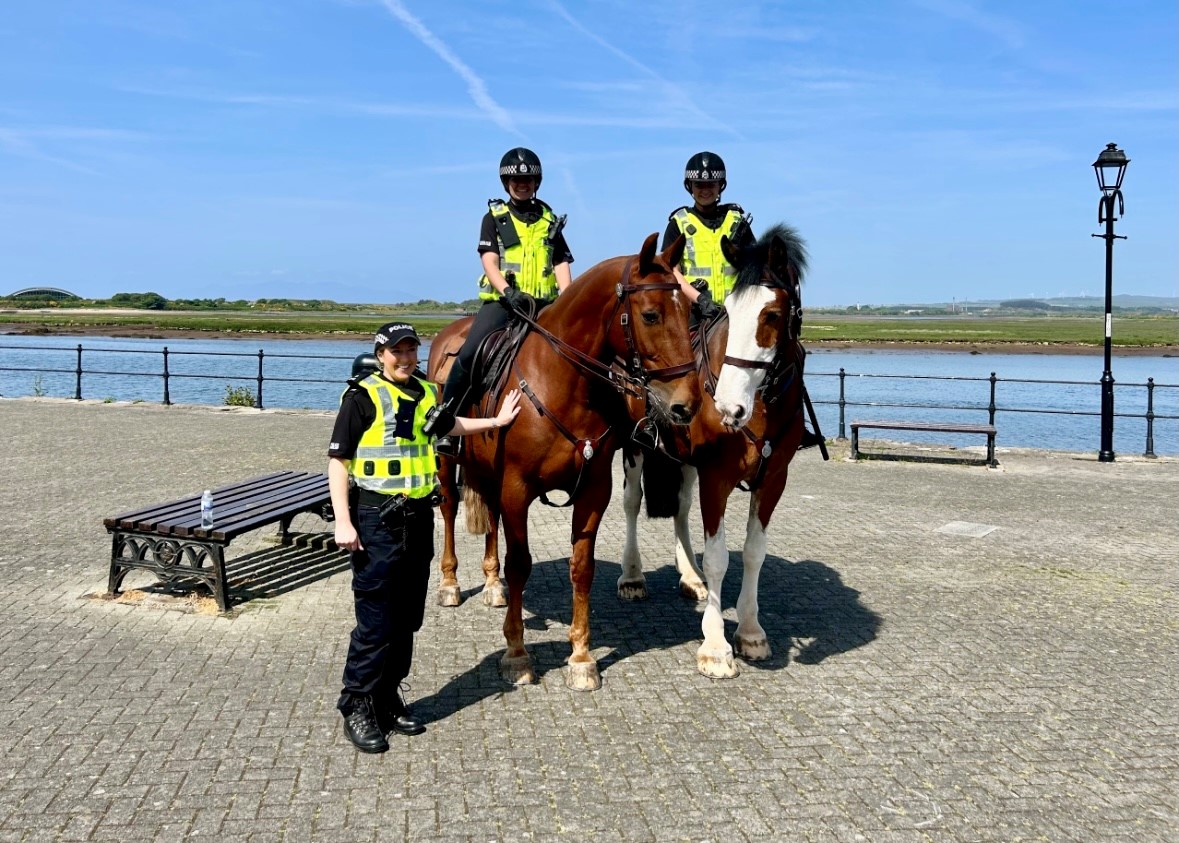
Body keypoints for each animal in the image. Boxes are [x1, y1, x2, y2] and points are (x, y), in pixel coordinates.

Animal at [426, 232, 697, 693]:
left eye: (689, 310)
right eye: (650, 315)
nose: (686, 403)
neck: (563, 381)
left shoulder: (593, 491)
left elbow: (582, 568)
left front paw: (582, 656)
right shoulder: (517, 488)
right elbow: (521, 565)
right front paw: (517, 654)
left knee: (490, 520)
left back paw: (492, 583)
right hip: (449, 464)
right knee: (447, 510)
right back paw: (450, 582)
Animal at [617, 224, 811, 679]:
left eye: (771, 315)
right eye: (730, 313)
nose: (727, 407)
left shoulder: (773, 479)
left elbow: (754, 553)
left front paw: (751, 631)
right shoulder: (717, 477)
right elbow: (719, 558)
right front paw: (715, 645)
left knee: (681, 507)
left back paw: (689, 576)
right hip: (634, 447)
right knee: (632, 502)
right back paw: (632, 575)